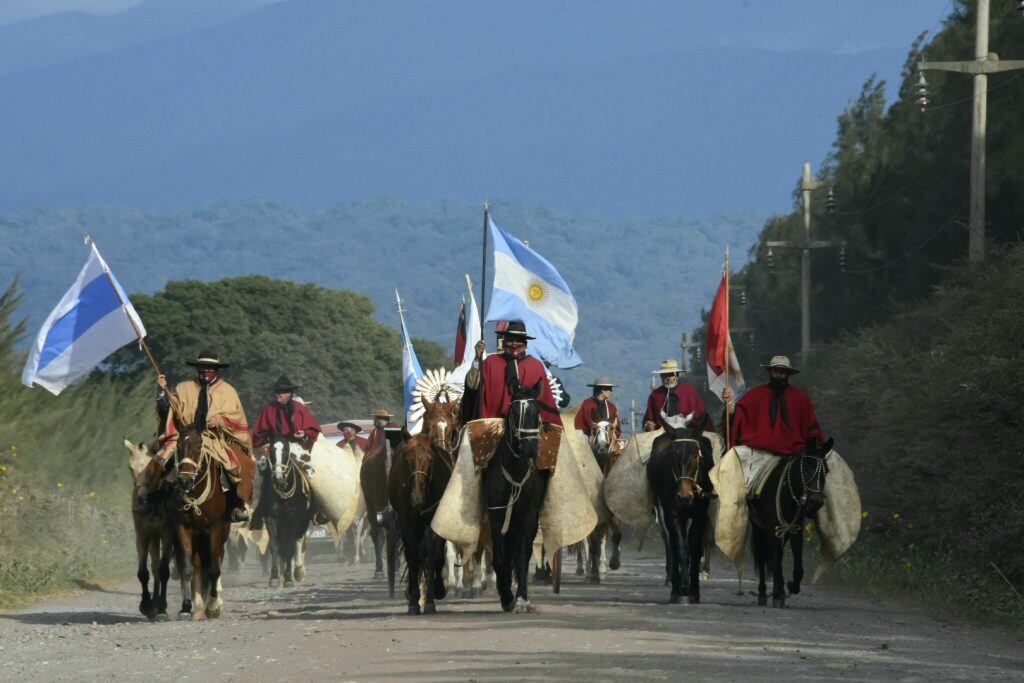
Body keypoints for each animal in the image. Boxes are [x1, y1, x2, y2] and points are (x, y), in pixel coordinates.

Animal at [168, 428, 231, 618]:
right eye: (178, 446)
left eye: (199, 446)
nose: (184, 481)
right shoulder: (183, 527)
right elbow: (188, 567)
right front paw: (187, 606)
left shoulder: (215, 528)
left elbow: (214, 567)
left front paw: (213, 606)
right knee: (196, 564)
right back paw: (198, 603)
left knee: (216, 559)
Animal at [387, 397, 460, 618]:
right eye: (406, 459)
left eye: (429, 460)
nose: (417, 497)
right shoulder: (407, 522)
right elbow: (413, 556)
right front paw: (413, 599)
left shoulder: (435, 521)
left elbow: (434, 554)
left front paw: (435, 593)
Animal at [749, 438, 835, 610]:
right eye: (806, 469)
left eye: (826, 471)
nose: (815, 503)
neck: (787, 492)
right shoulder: (772, 529)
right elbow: (774, 559)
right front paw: (777, 595)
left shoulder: (795, 529)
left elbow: (797, 565)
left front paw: (791, 586)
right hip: (758, 528)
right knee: (762, 557)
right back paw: (763, 593)